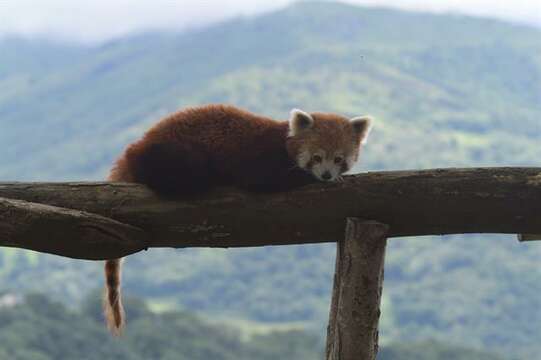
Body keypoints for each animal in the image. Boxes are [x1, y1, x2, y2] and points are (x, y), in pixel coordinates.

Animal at [102, 103, 372, 334]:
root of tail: (136, 148)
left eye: (338, 159)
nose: (326, 175)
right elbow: (271, 180)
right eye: (316, 157)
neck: (283, 143)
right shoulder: (261, 160)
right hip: (175, 153)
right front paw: (308, 178)